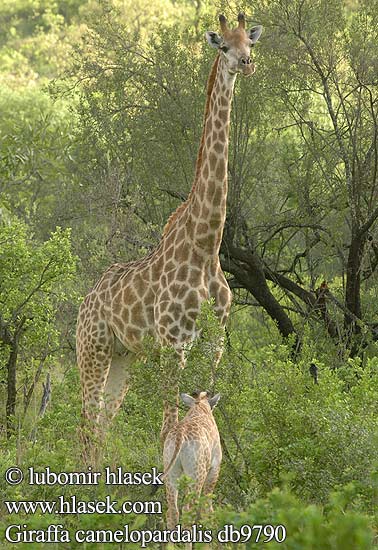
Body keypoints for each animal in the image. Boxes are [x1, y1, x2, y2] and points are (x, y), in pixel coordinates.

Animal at [77, 14, 262, 466]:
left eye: (249, 43)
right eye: (223, 47)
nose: (246, 64)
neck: (206, 245)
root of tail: (85, 302)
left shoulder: (213, 346)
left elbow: (206, 419)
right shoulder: (173, 345)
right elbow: (167, 429)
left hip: (125, 357)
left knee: (102, 427)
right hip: (93, 349)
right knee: (86, 426)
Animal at [162, 390, 221, 532]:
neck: (200, 406)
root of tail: (179, 436)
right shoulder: (215, 468)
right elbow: (207, 507)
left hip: (171, 472)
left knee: (173, 511)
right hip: (198, 474)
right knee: (190, 510)